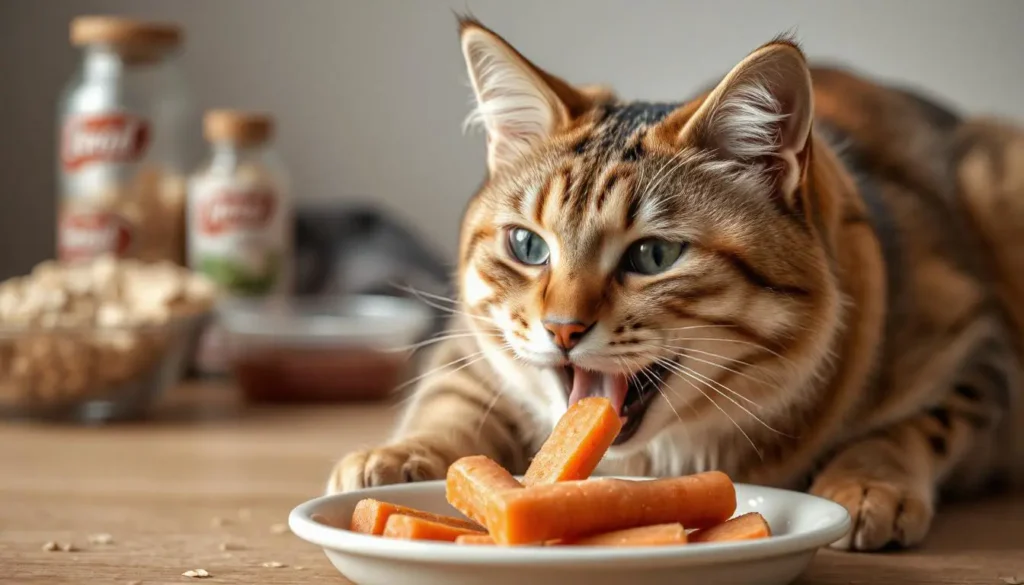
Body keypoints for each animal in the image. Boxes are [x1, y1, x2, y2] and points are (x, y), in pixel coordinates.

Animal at [329, 16, 1024, 553]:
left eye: (654, 255)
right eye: (527, 246)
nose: (562, 329)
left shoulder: (980, 348)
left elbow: (915, 424)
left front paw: (866, 482)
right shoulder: (472, 341)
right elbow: (452, 398)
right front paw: (397, 458)